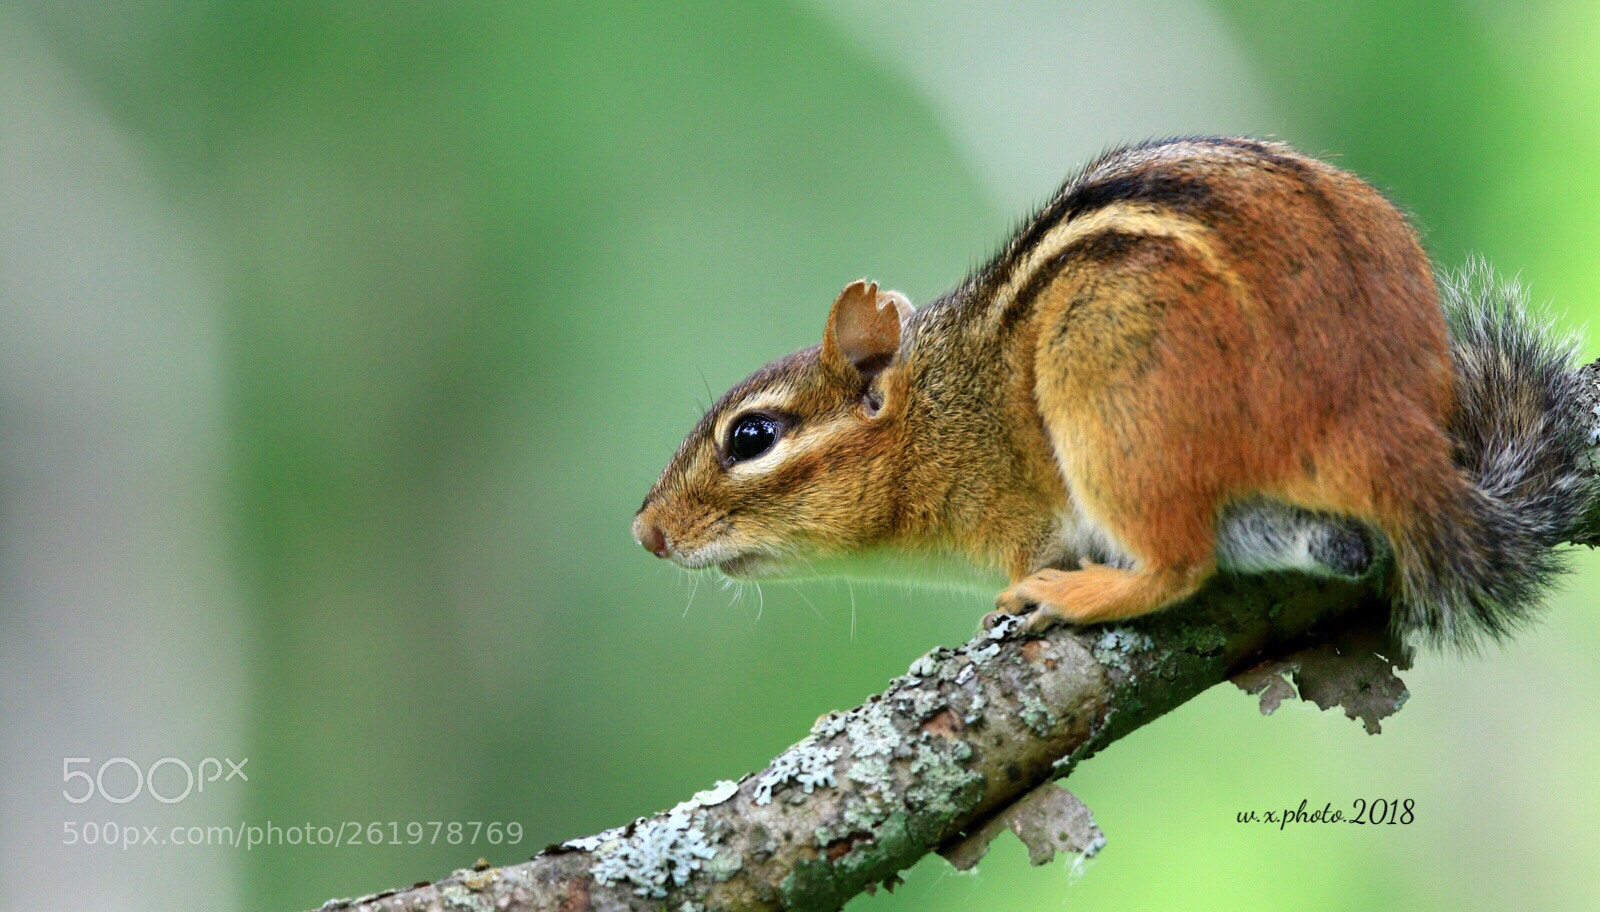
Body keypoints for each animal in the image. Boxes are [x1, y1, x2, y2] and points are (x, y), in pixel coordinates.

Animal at [633, 137, 1597, 647]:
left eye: (751, 437)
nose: (645, 533)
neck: (940, 405)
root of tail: (1373, 415)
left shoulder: (1018, 513)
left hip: (1108, 403)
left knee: (1177, 565)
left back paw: (1072, 597)